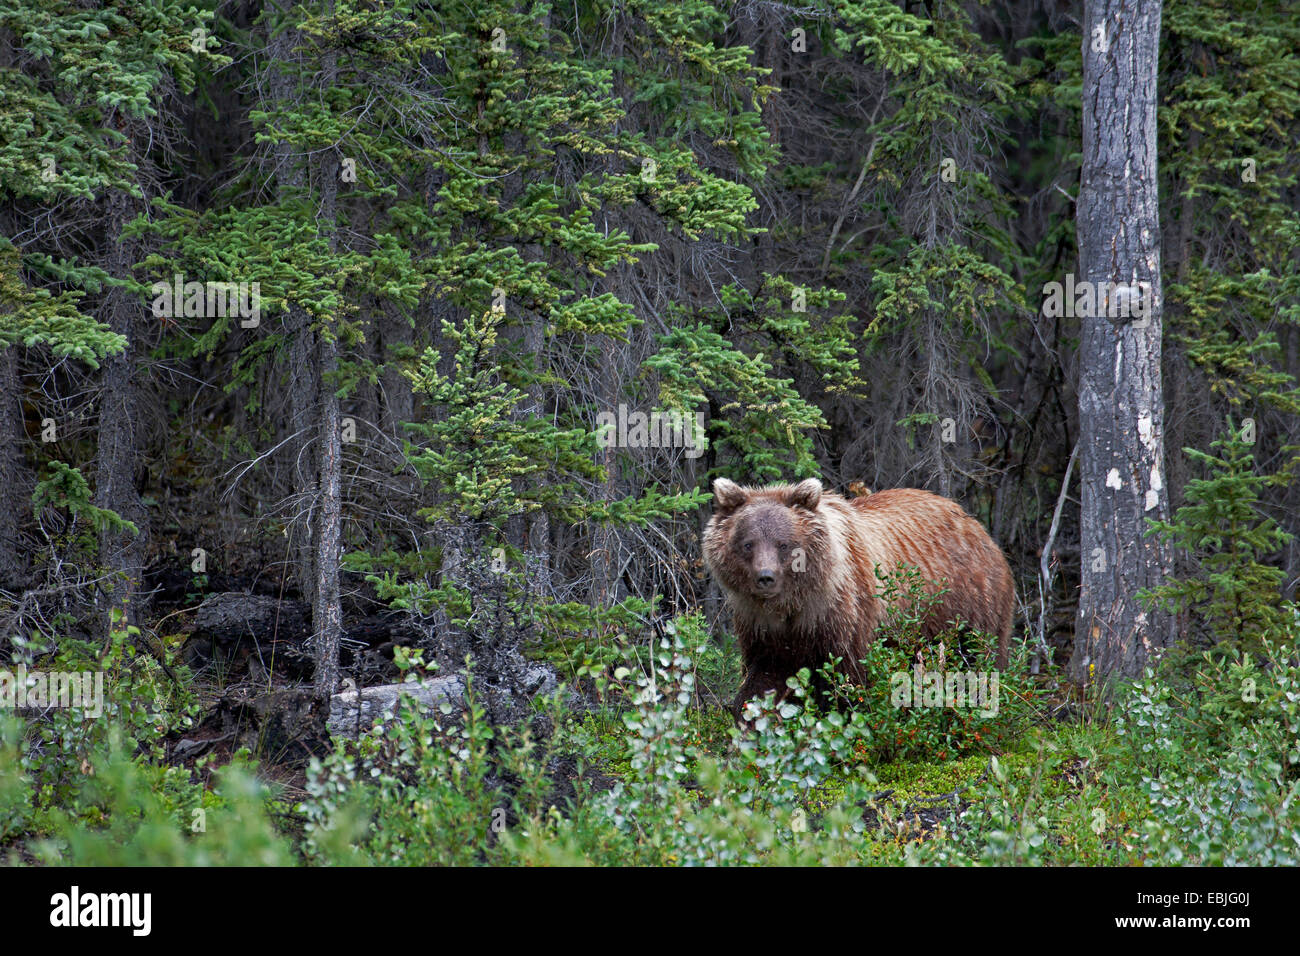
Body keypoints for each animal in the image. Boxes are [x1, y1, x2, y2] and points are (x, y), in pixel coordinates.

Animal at [707, 478, 1008, 717]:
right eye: (748, 543)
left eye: (783, 544)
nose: (765, 577)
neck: (796, 603)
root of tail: (977, 526)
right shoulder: (761, 626)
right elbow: (764, 677)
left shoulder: (844, 616)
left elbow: (848, 680)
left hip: (970, 607)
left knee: (979, 660)